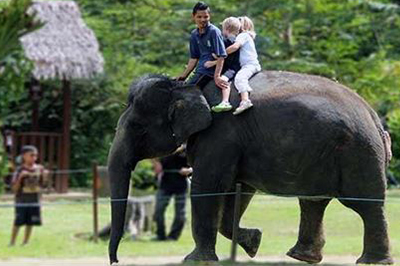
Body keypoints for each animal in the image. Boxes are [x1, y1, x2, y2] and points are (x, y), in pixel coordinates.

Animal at [107, 70, 394, 264]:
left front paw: (196, 260)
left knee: (366, 205)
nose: (116, 260)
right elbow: (239, 190)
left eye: (138, 128)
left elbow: (207, 186)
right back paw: (304, 257)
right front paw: (254, 242)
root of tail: (373, 117)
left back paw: (370, 261)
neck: (188, 86)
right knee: (314, 202)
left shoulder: (220, 135)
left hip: (357, 153)